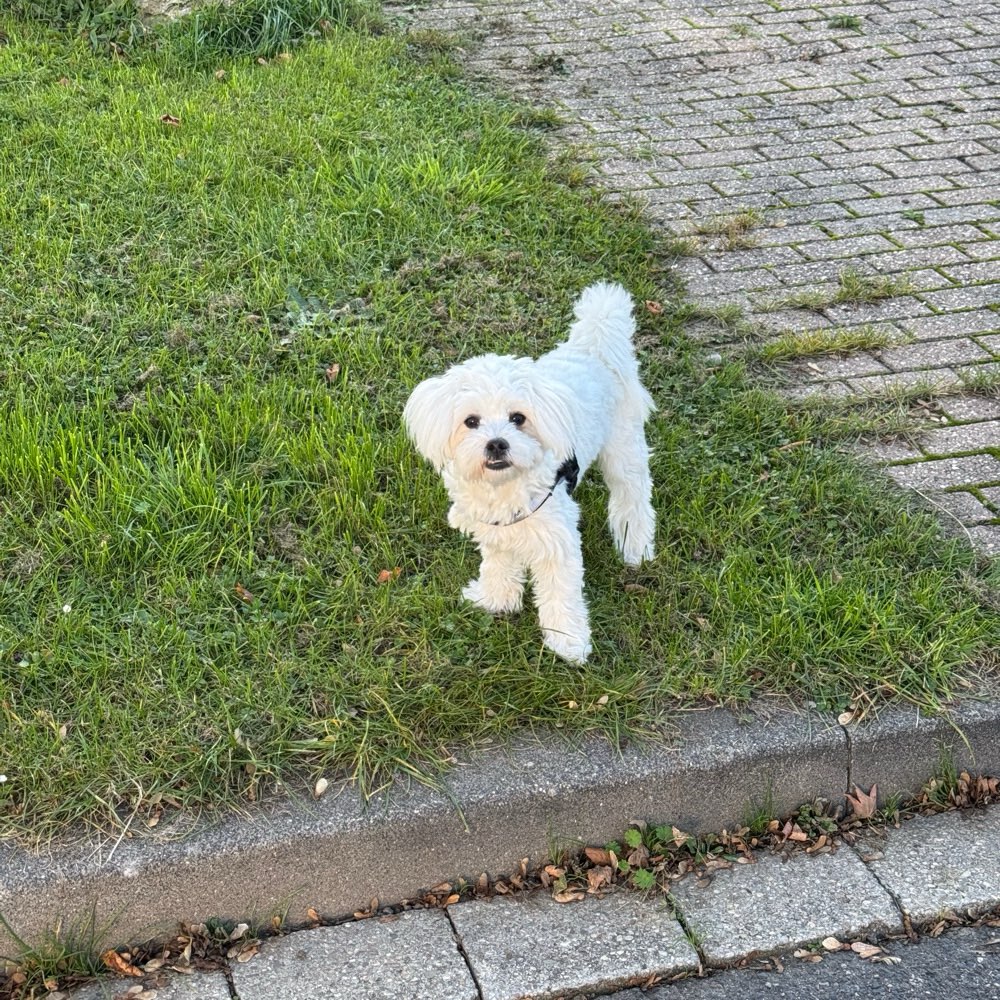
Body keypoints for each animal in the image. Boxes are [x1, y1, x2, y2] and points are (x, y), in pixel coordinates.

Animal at [402, 282, 652, 660]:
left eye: (518, 418)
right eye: (470, 421)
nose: (497, 444)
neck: (504, 486)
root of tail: (592, 345)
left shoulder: (557, 541)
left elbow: (561, 594)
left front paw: (568, 641)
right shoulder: (495, 531)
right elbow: (498, 565)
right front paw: (496, 599)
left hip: (623, 448)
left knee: (633, 497)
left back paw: (635, 546)